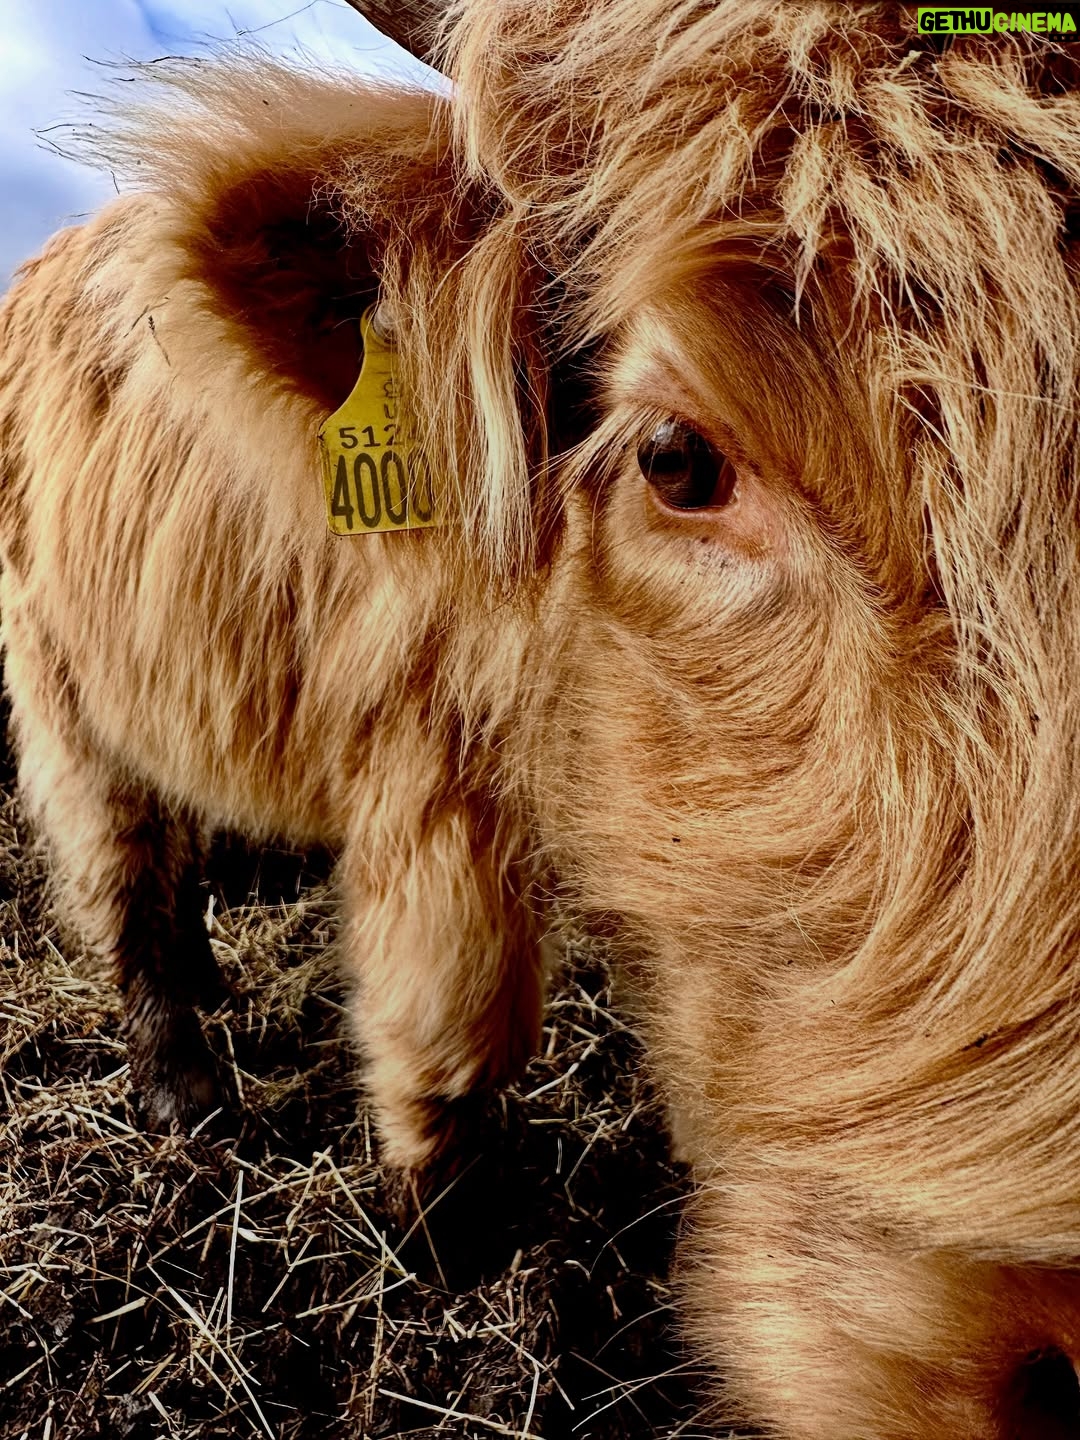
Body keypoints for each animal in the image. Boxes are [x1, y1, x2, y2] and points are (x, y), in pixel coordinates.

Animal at [2, 1, 1080, 1435]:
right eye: (678, 461)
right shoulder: (429, 771)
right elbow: (450, 1016)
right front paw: (453, 1249)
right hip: (54, 679)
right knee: (126, 872)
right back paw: (187, 1101)